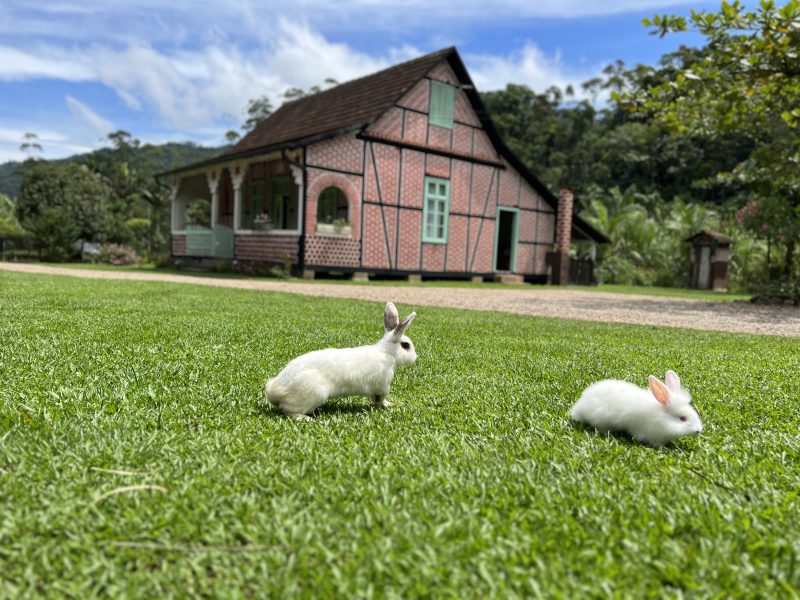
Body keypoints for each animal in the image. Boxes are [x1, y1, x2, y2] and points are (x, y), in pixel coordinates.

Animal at [268, 302, 418, 420]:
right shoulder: (383, 386)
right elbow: (381, 399)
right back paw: (306, 419)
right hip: (312, 394)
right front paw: (389, 405)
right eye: (406, 345)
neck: (387, 353)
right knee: (286, 410)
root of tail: (274, 390)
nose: (415, 357)